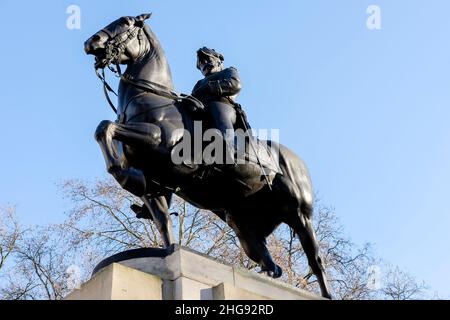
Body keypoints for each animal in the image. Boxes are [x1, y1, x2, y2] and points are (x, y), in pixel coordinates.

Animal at [84, 12, 332, 298]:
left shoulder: (159, 141)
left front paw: (124, 176)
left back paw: (326, 293)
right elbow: (163, 222)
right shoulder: (155, 187)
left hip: (300, 214)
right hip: (242, 222)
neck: (152, 98)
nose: (91, 42)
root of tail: (296, 161)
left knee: (316, 259)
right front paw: (169, 249)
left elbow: (105, 127)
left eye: (125, 22)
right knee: (268, 260)